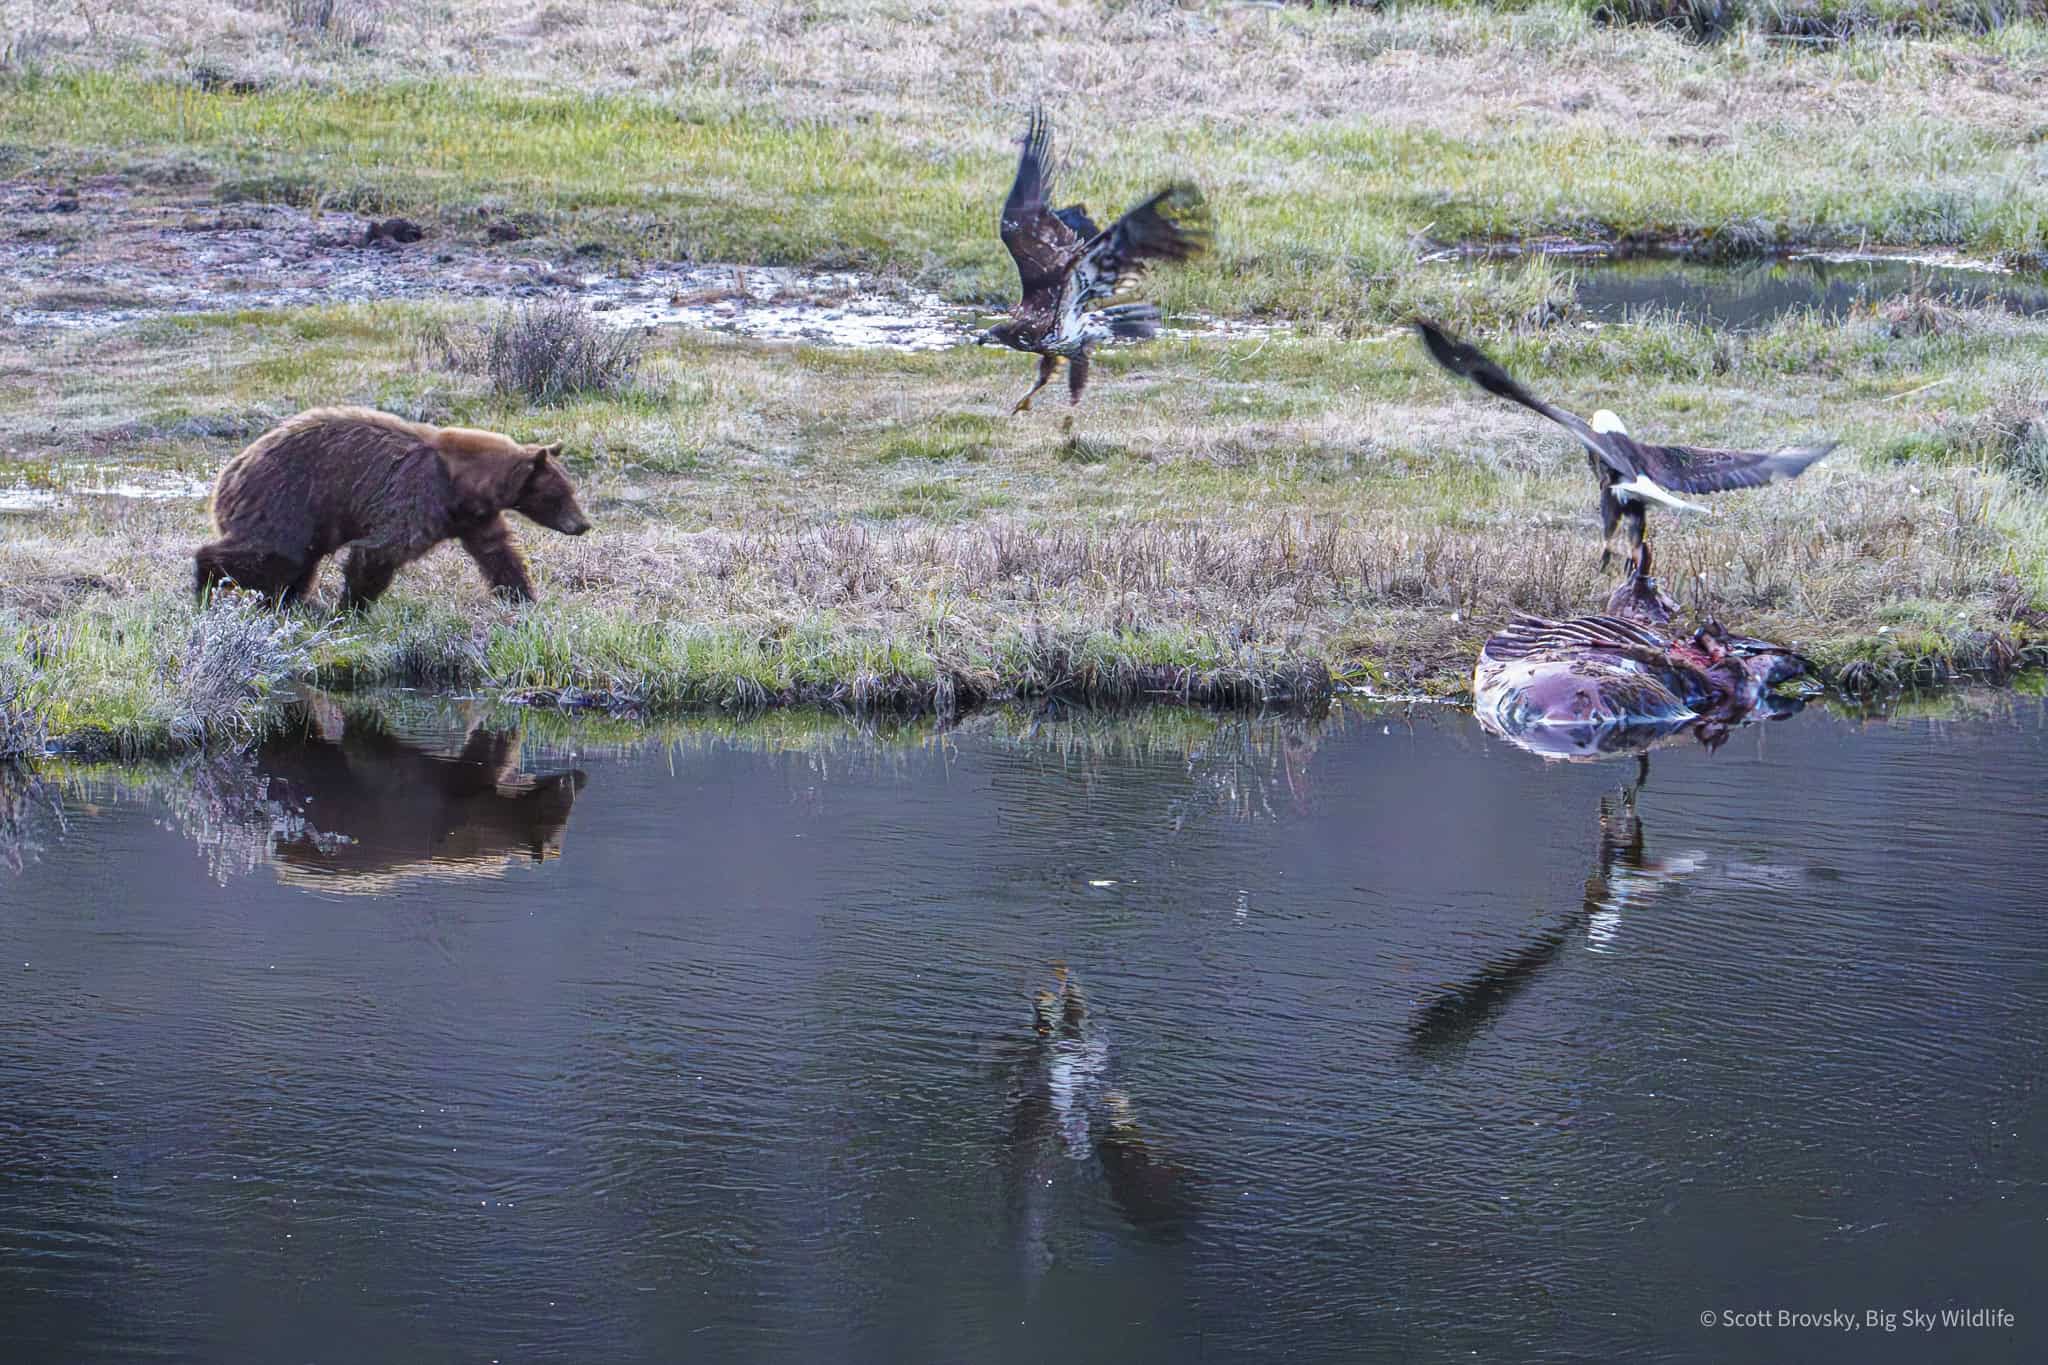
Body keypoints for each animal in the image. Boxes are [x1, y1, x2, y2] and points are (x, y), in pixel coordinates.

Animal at [194, 406, 591, 609]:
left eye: (570, 489)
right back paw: (206, 582)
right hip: (285, 500)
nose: (583, 524)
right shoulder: (418, 493)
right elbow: (382, 549)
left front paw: (522, 597)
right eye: (559, 495)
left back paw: (286, 602)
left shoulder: (474, 517)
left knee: (296, 563)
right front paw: (353, 607)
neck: (461, 481)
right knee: (273, 554)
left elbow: (498, 552)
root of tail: (230, 471)